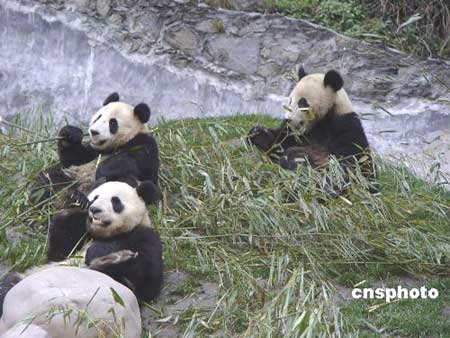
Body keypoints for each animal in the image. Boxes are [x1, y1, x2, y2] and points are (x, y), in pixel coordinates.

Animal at [29, 92, 160, 209]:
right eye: (99, 117)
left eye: (113, 123)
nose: (94, 132)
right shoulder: (92, 150)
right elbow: (74, 159)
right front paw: (70, 133)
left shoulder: (144, 144)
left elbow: (134, 163)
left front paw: (103, 170)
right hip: (69, 176)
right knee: (48, 177)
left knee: (125, 182)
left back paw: (82, 197)